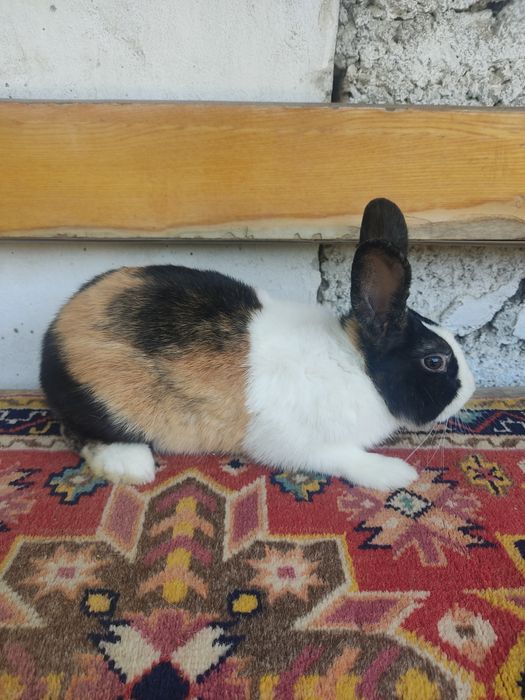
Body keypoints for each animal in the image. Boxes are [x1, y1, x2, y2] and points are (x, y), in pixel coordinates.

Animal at [40, 198, 475, 490]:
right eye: (435, 361)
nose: (471, 390)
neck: (359, 366)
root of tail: (54, 333)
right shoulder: (300, 442)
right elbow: (346, 457)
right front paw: (396, 473)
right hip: (105, 404)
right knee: (81, 432)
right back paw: (131, 466)